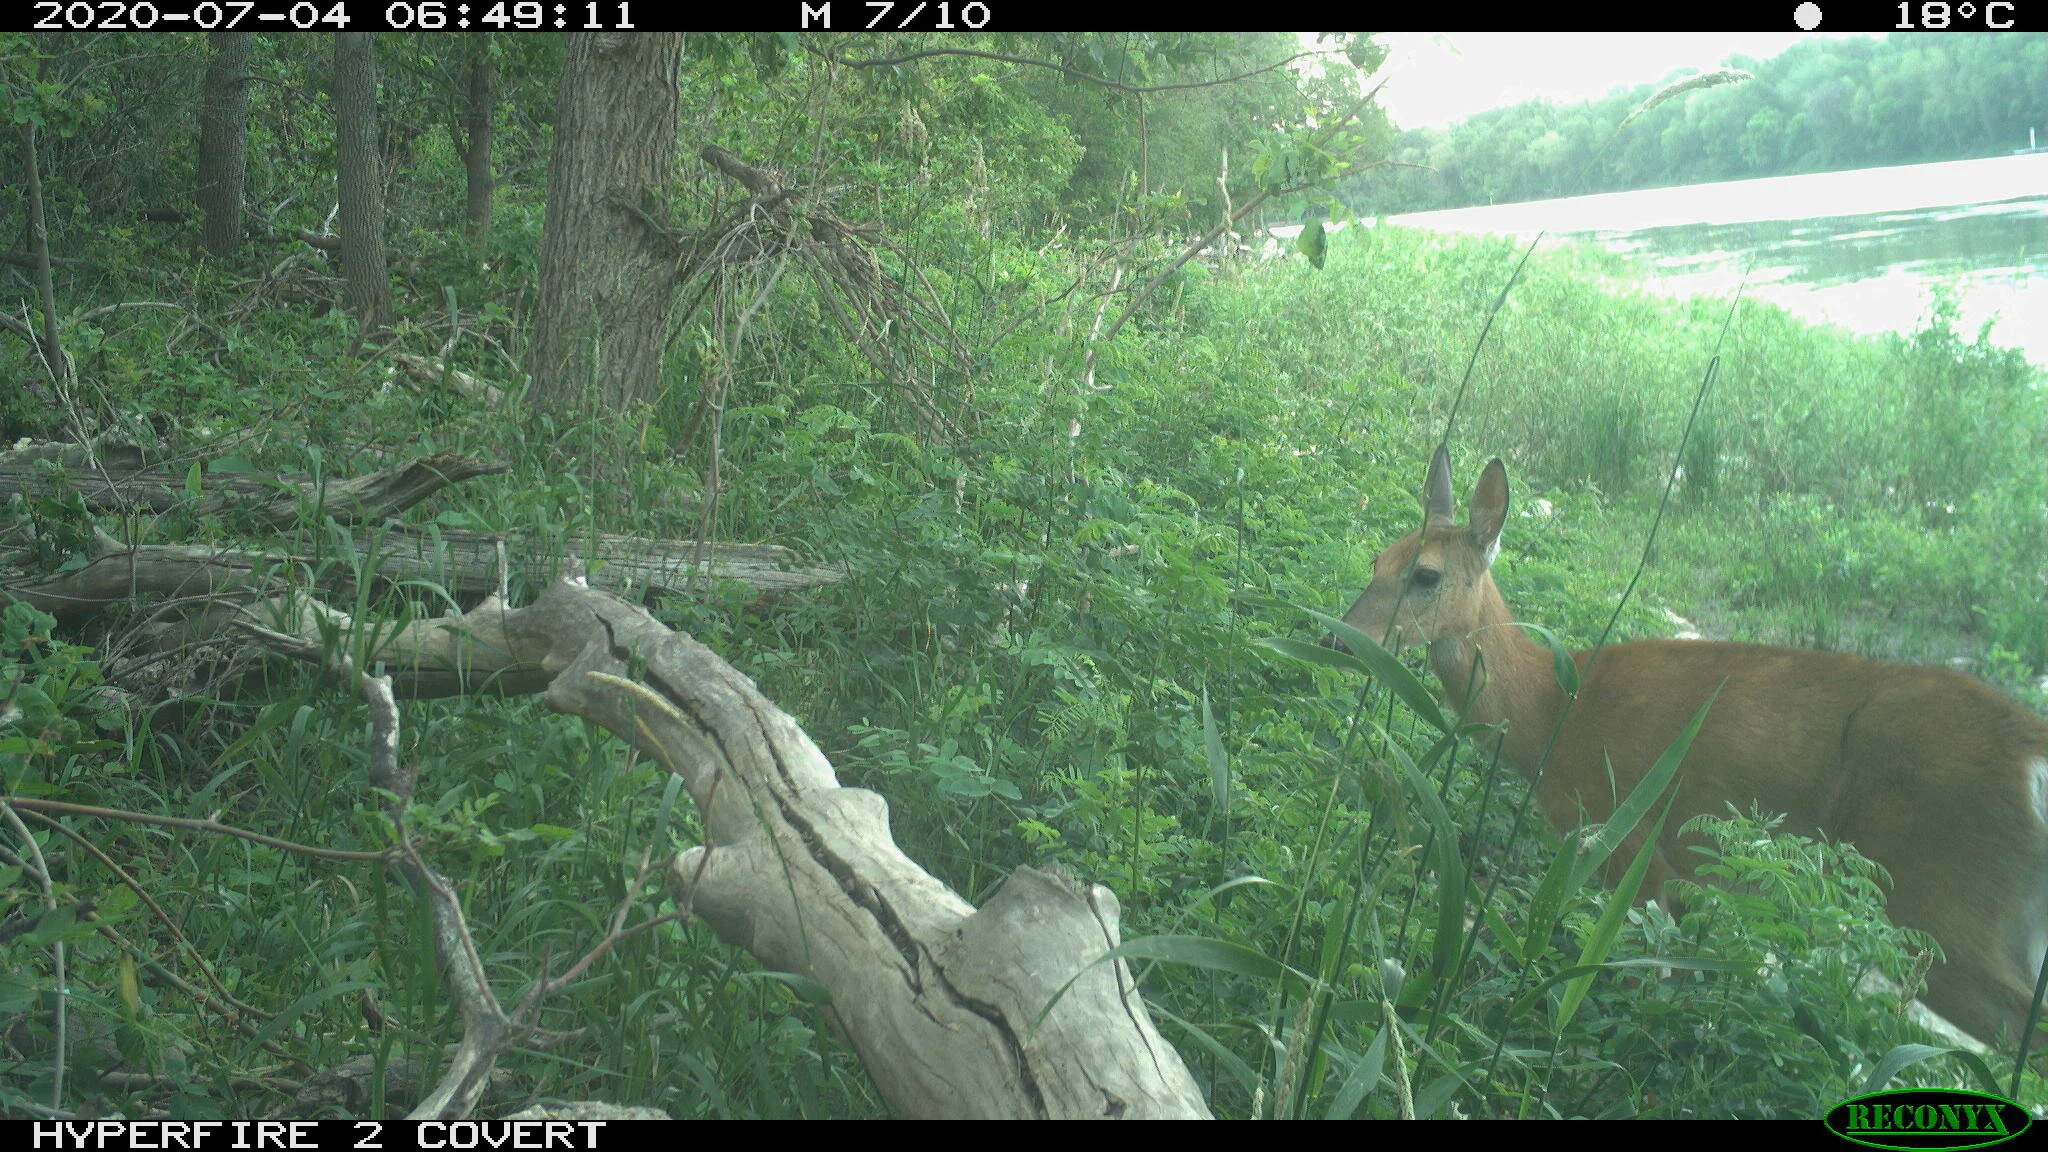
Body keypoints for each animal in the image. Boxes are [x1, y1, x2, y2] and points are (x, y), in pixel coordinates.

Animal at [1339, 444, 2048, 1053]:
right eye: (1376, 559)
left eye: (1425, 575)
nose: (1339, 637)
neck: (1552, 709)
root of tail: (2028, 745)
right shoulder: (1687, 879)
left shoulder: (1625, 839)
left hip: (1942, 891)